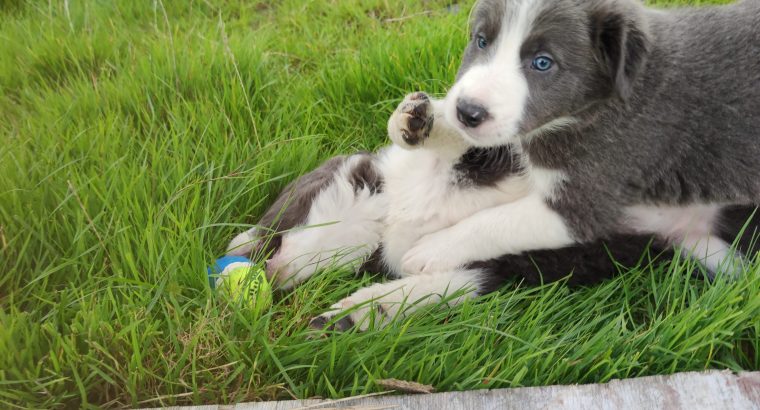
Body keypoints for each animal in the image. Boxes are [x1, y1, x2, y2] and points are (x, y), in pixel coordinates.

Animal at [227, 92, 760, 330]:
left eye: (281, 222)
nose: (262, 271)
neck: (395, 211)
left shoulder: (515, 148)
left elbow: (467, 141)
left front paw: (416, 120)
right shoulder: (501, 269)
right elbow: (428, 289)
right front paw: (352, 316)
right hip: (713, 253)